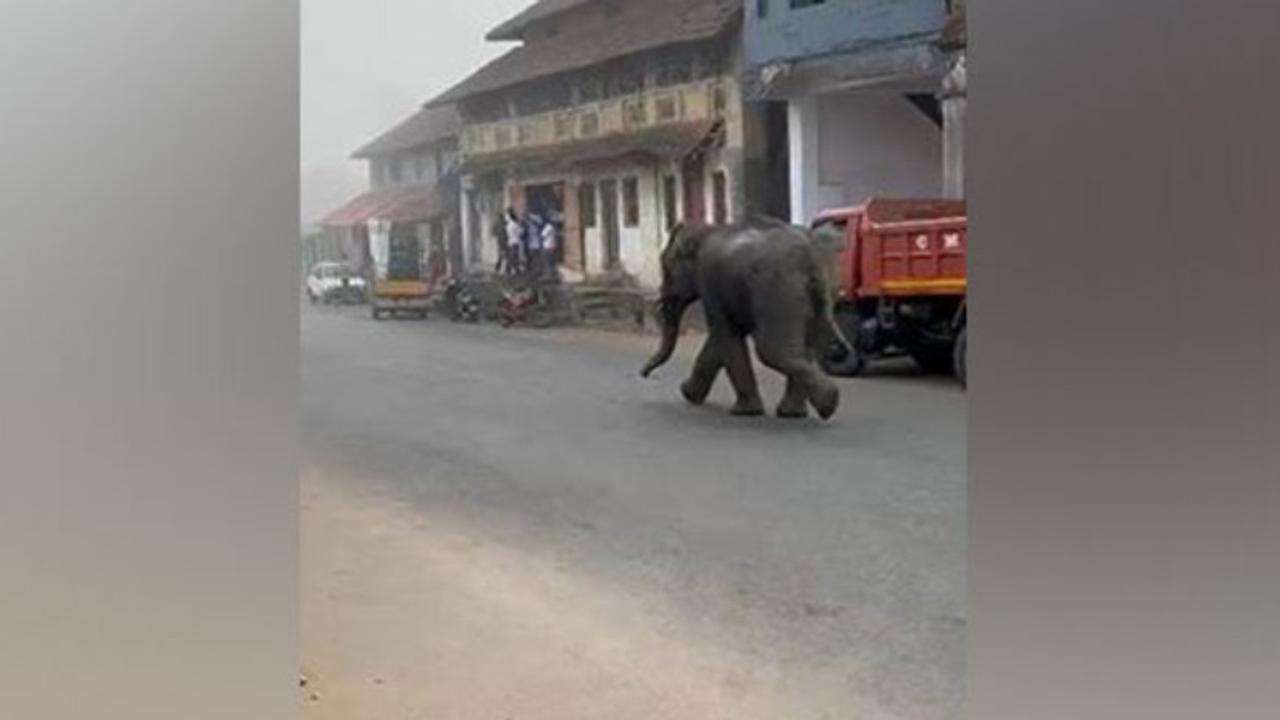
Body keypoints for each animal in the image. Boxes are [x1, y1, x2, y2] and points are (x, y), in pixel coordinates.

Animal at [637, 219, 849, 420]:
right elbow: (719, 339)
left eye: (665, 267)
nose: (643, 373)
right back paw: (797, 413)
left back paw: (828, 404)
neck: (707, 229)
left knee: (771, 350)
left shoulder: (710, 279)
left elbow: (724, 334)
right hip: (815, 292)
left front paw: (745, 411)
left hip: (777, 290)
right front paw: (688, 393)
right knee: (809, 345)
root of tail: (810, 259)